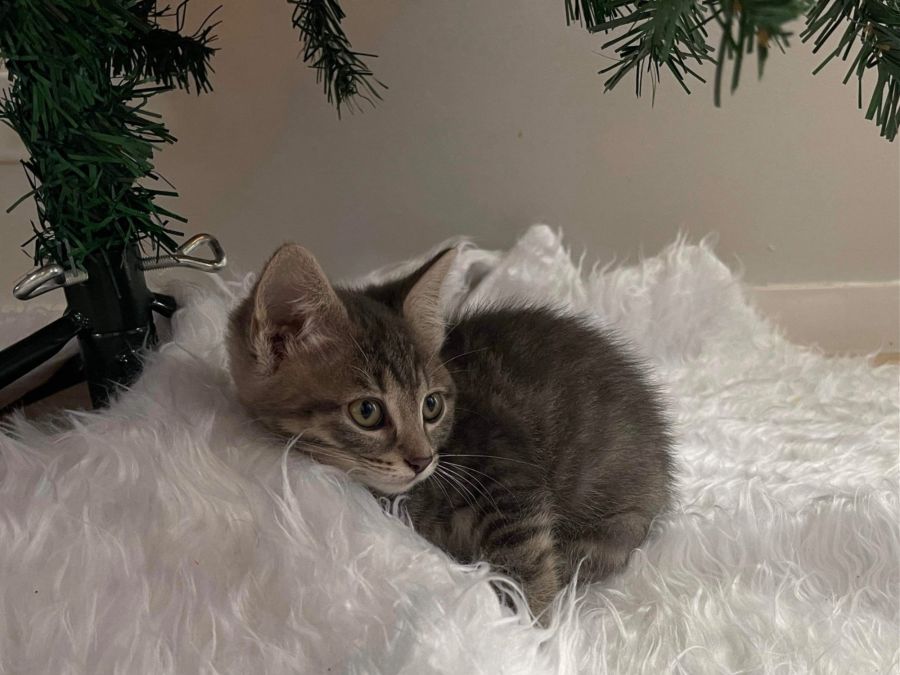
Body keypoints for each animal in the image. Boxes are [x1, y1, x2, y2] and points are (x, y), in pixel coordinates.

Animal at [228, 243, 674, 617]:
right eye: (367, 412)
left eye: (432, 406)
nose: (422, 460)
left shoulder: (506, 465)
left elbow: (526, 562)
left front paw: (528, 635)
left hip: (611, 523)